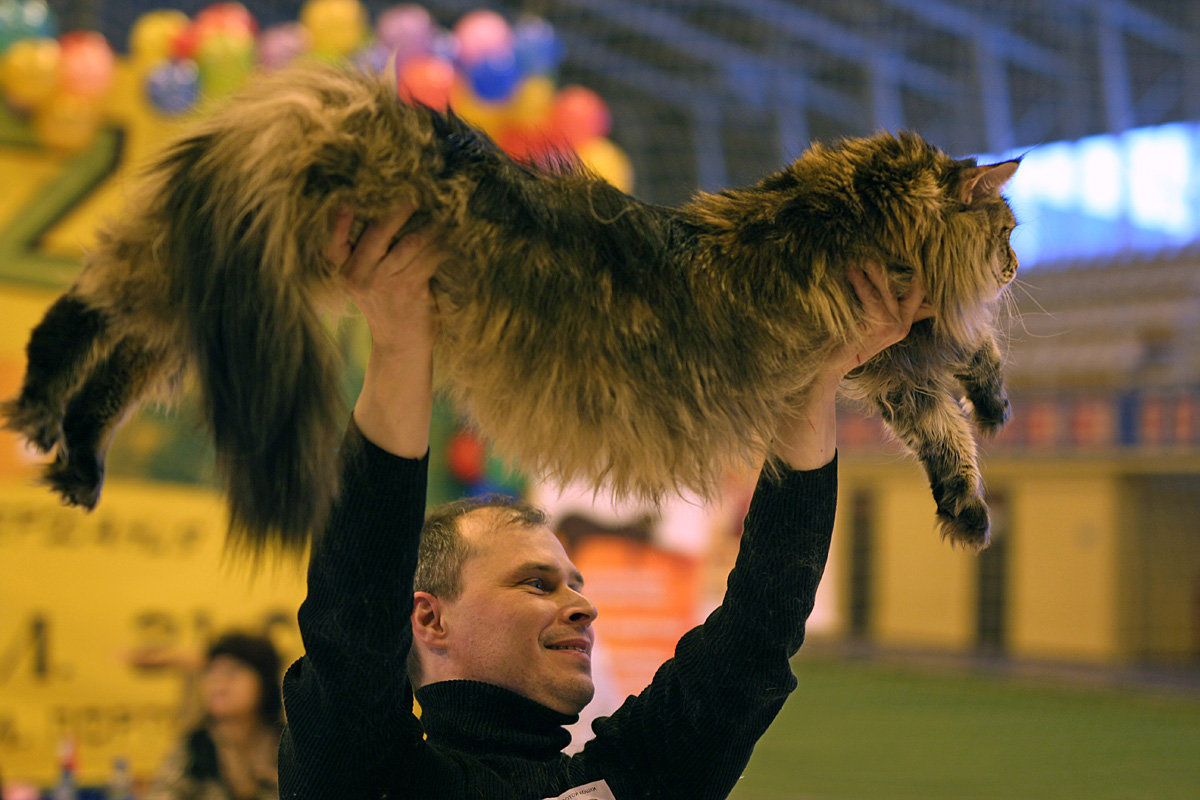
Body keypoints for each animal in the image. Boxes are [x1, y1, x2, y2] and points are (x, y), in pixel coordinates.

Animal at [4, 62, 1022, 554]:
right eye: (1010, 227)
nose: (1016, 263)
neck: (842, 206)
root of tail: (373, 115)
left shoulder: (888, 357)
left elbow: (950, 409)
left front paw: (985, 434)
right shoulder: (885, 343)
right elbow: (951, 402)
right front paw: (981, 458)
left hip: (229, 269)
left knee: (126, 351)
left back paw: (79, 453)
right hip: (239, 254)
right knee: (86, 309)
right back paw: (40, 400)